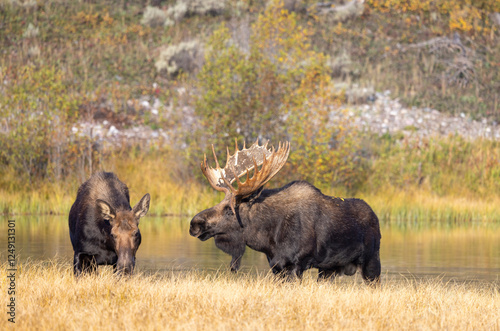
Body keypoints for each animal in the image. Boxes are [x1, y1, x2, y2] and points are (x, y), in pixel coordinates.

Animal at [189, 141, 380, 286]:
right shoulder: (277, 267)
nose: (194, 224)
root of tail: (375, 217)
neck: (266, 236)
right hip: (329, 270)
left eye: (229, 210)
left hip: (371, 263)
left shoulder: (296, 265)